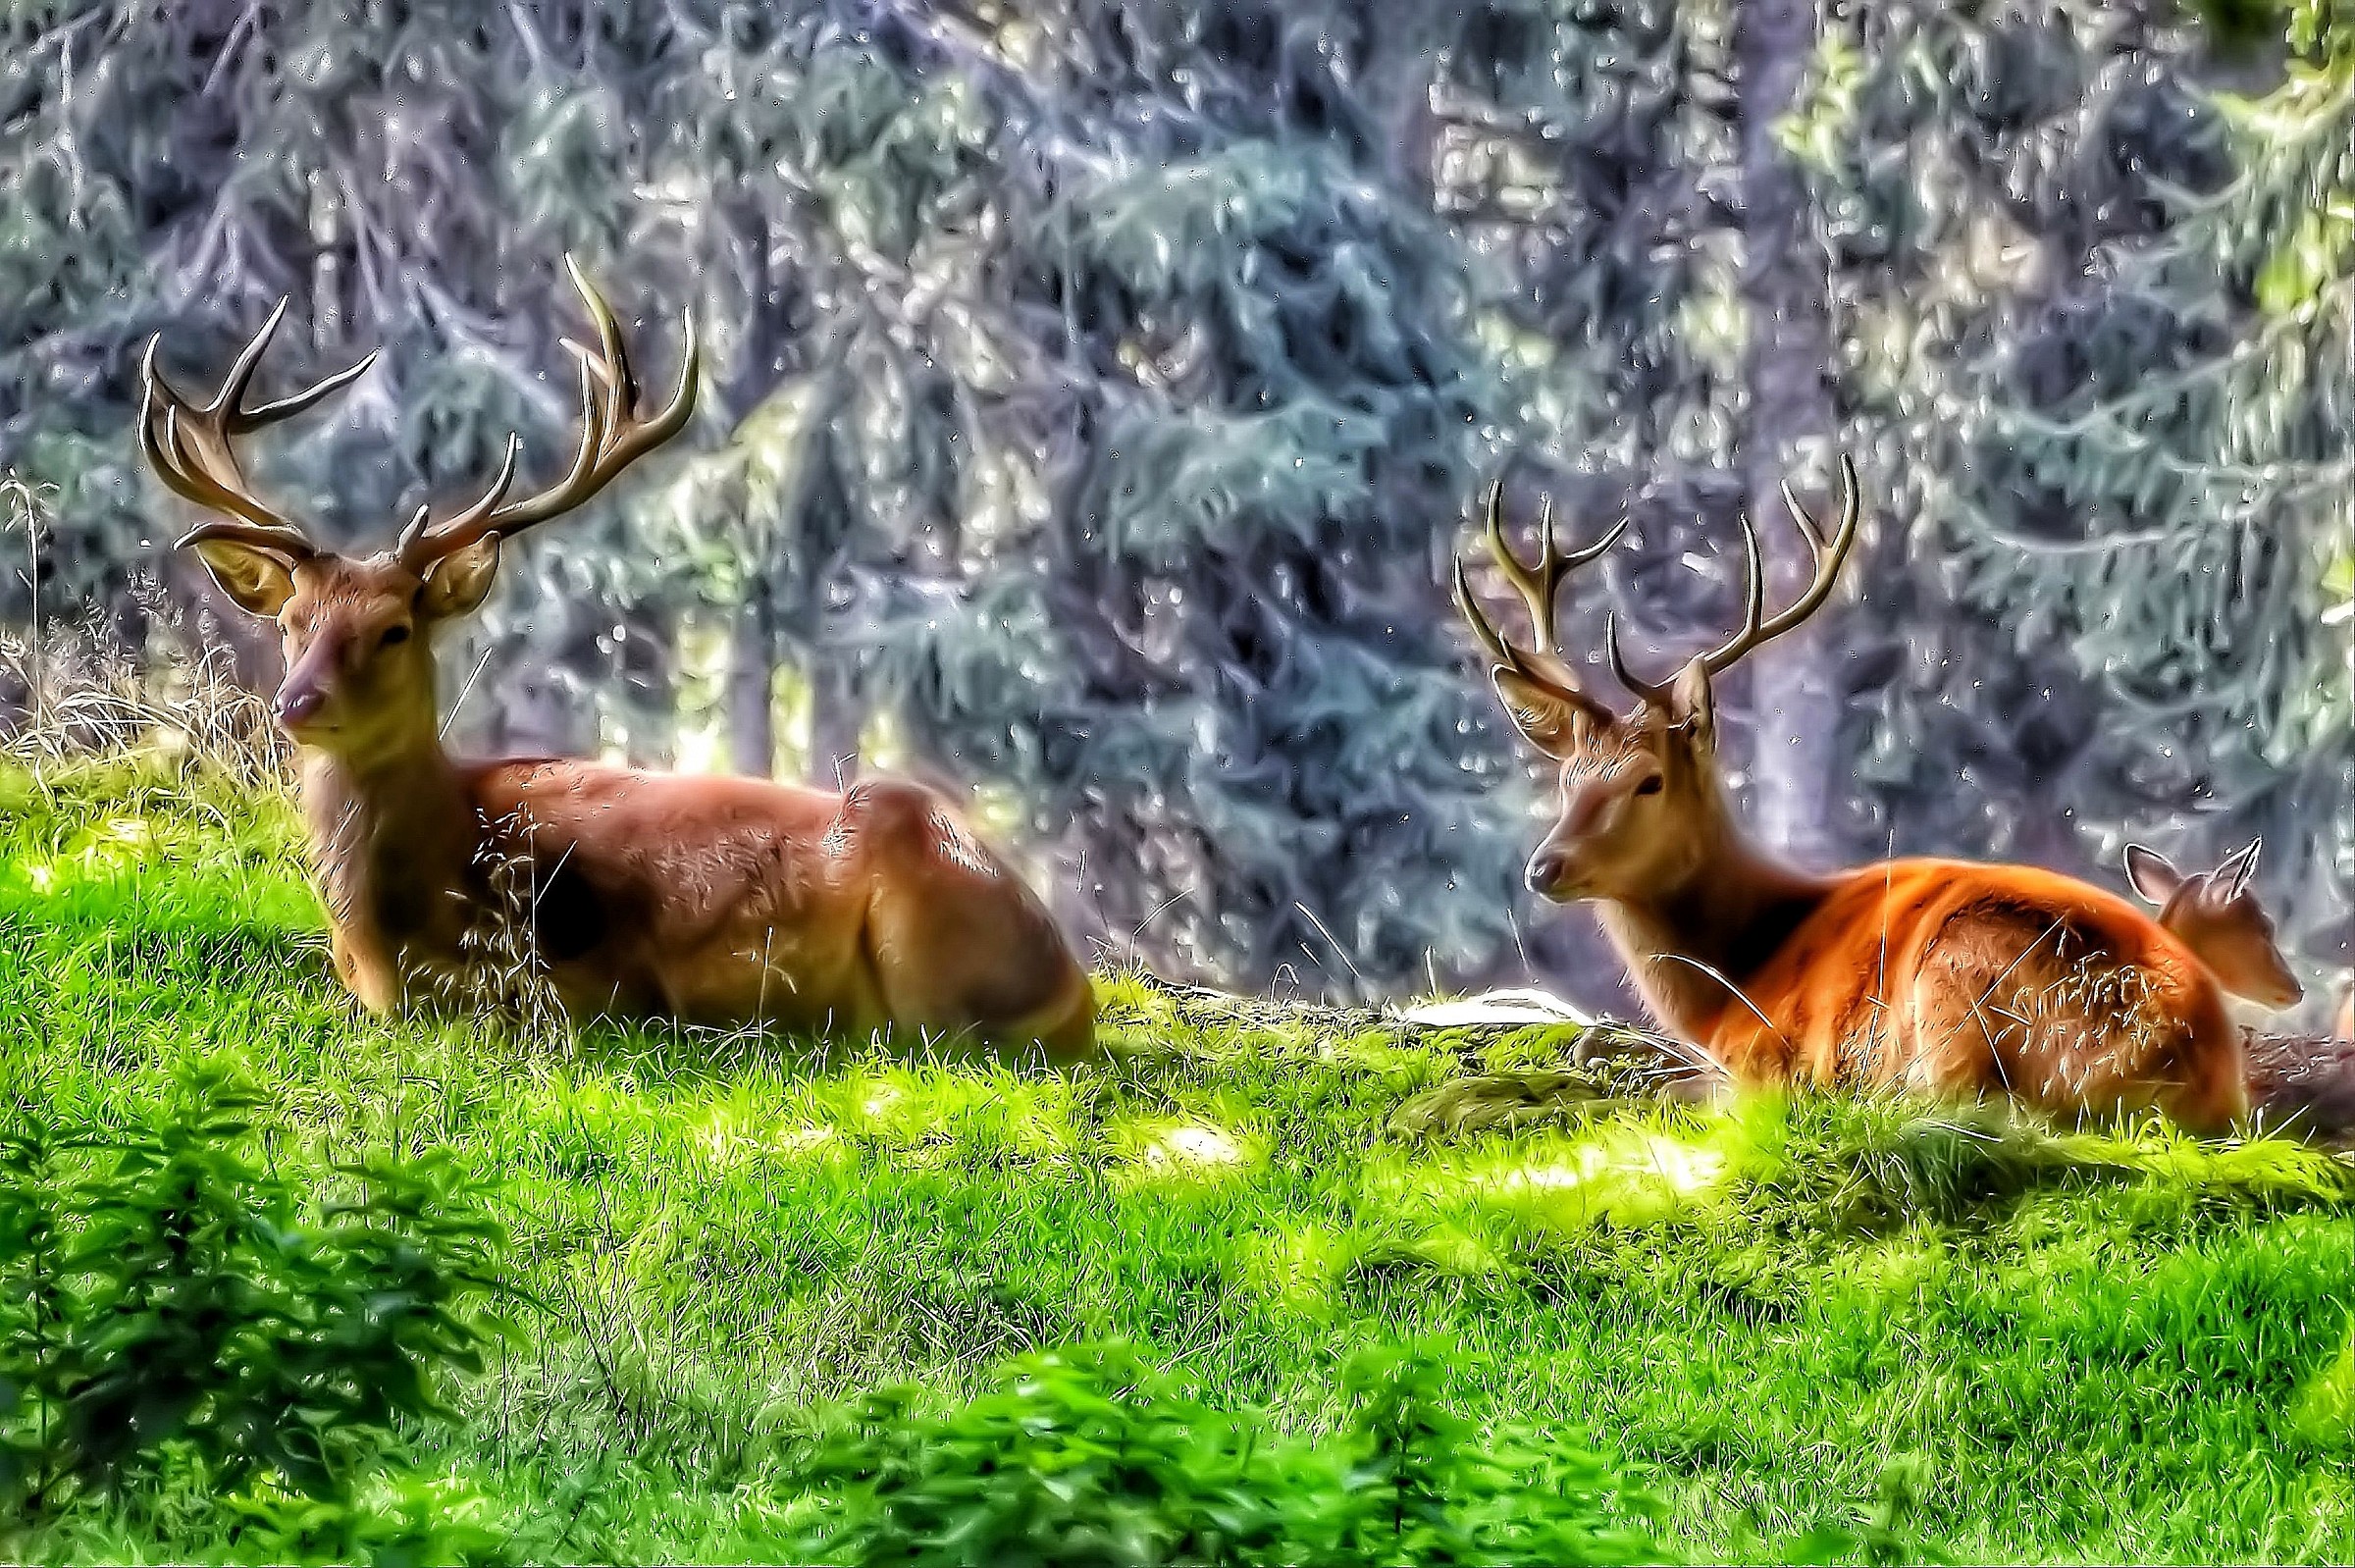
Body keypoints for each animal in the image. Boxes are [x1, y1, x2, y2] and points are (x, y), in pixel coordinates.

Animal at [138, 261, 1096, 1059]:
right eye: (292, 620)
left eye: (394, 629)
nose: (296, 704)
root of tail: (1073, 986)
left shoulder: (592, 984)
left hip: (923, 945)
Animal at [1453, 457, 2246, 1132]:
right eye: (1567, 780)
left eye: (1648, 780)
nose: (1544, 867)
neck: (1739, 971)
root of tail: (2188, 1055)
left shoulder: (1762, 1054)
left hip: (1959, 979)